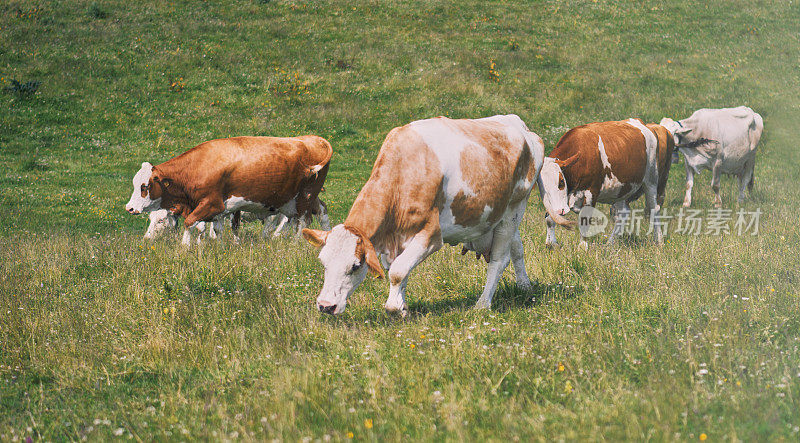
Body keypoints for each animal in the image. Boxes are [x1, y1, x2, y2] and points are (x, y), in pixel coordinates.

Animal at [125, 135, 332, 246]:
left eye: (144, 186)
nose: (129, 208)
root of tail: (313, 139)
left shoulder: (212, 204)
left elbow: (191, 223)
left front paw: (185, 247)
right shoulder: (220, 210)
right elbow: (215, 229)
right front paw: (219, 245)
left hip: (305, 197)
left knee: (302, 221)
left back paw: (295, 242)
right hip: (294, 201)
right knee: (316, 212)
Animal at [300, 114, 568, 316]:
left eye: (355, 266)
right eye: (323, 262)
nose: (325, 306)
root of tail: (520, 125)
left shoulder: (430, 234)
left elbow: (398, 271)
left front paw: (394, 307)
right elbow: (401, 269)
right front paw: (402, 304)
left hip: (514, 209)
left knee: (500, 260)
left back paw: (482, 304)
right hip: (500, 215)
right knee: (518, 250)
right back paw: (524, 286)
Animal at [536, 119, 676, 248]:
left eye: (561, 181)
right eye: (541, 187)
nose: (560, 210)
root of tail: (643, 124)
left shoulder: (591, 191)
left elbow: (585, 220)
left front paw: (582, 247)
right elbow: (549, 218)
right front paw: (551, 243)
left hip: (652, 181)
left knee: (654, 208)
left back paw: (659, 240)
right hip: (622, 189)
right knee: (623, 213)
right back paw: (610, 243)